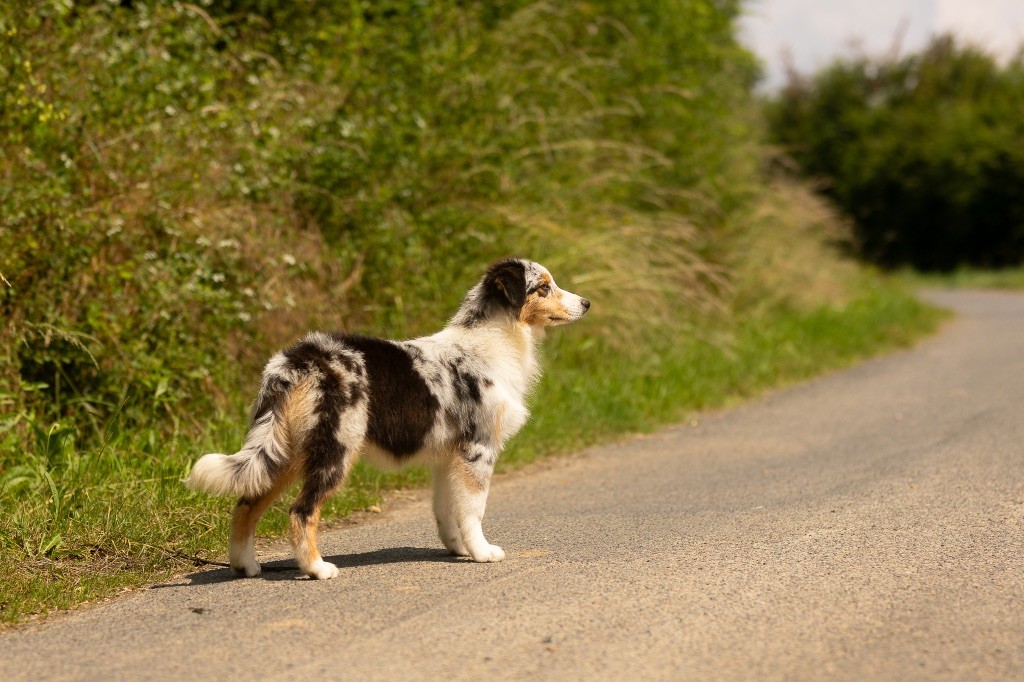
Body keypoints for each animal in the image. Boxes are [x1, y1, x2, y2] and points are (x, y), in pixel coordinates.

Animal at [180, 258, 589, 577]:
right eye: (543, 287)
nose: (586, 303)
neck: (494, 339)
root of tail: (298, 359)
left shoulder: (447, 458)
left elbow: (447, 510)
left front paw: (459, 550)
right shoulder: (478, 449)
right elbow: (474, 509)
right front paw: (483, 552)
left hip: (286, 450)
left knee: (246, 504)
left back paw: (245, 566)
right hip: (335, 449)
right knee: (300, 511)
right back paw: (317, 568)